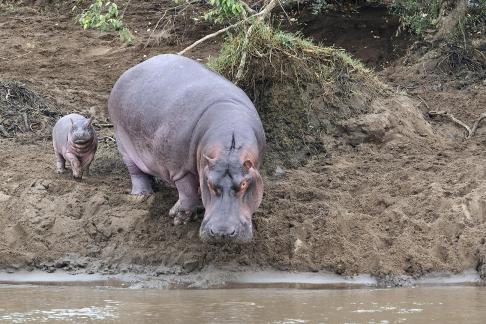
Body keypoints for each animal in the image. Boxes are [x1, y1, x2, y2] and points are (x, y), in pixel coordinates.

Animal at [107, 53, 266, 242]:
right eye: (209, 183)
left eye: (243, 184)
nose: (222, 233)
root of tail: (128, 72)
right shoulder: (180, 169)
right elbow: (187, 193)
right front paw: (179, 219)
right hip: (123, 143)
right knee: (135, 172)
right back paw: (142, 196)